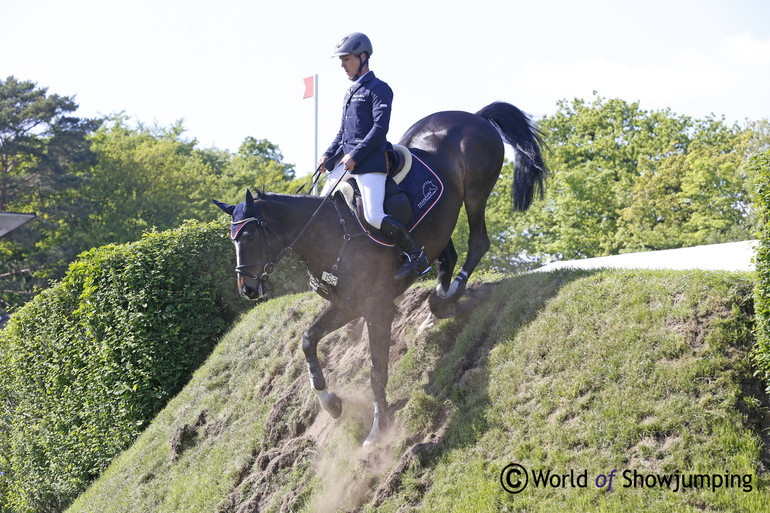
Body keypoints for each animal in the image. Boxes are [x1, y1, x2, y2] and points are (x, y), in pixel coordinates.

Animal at [213, 100, 544, 444]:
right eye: (232, 238)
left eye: (249, 235)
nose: (247, 289)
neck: (331, 233)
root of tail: (474, 117)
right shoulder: (346, 305)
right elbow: (308, 339)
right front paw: (330, 402)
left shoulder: (377, 308)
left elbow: (376, 370)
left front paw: (378, 428)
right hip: (442, 219)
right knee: (445, 256)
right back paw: (436, 308)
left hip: (476, 193)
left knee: (478, 242)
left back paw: (448, 299)